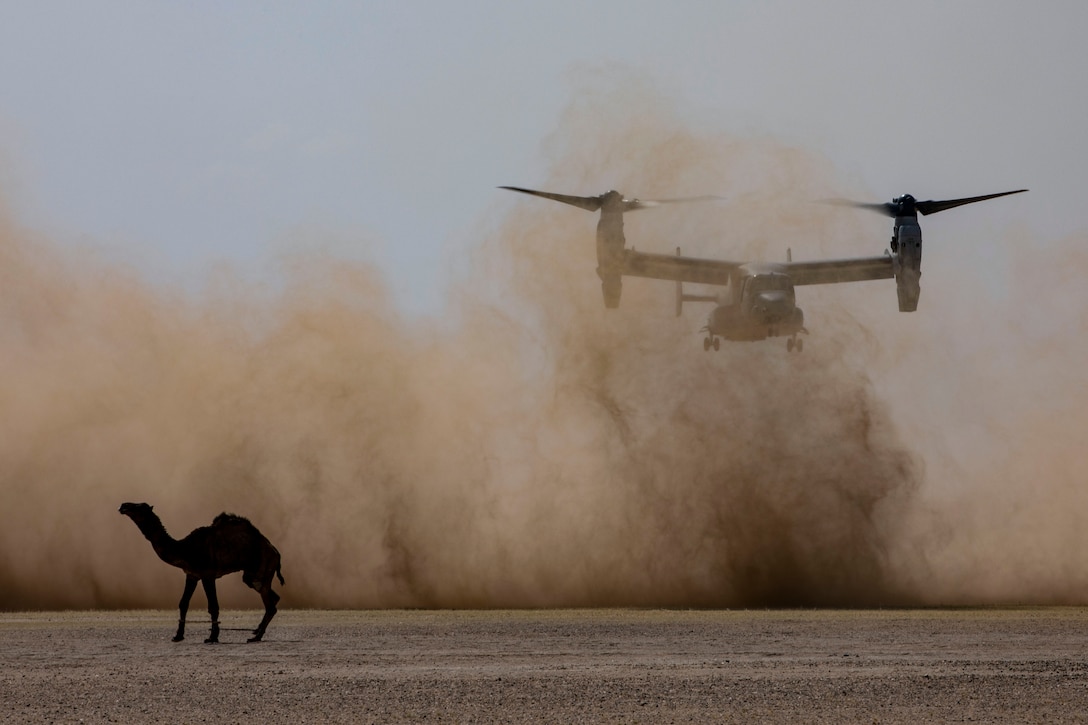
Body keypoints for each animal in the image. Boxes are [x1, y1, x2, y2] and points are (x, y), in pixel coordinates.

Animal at [117, 500, 285, 640]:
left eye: (140, 507)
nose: (123, 506)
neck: (185, 549)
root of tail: (276, 552)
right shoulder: (192, 575)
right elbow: (183, 603)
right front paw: (178, 635)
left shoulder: (207, 575)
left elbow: (213, 606)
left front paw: (213, 637)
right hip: (251, 575)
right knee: (274, 597)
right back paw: (257, 631)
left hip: (260, 571)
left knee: (270, 605)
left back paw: (256, 637)